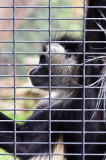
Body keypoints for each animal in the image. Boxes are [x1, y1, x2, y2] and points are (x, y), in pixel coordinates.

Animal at [0, 0, 105, 159]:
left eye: (43, 60)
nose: (32, 71)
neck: (77, 86)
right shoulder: (57, 105)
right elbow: (24, 143)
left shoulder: (94, 65)